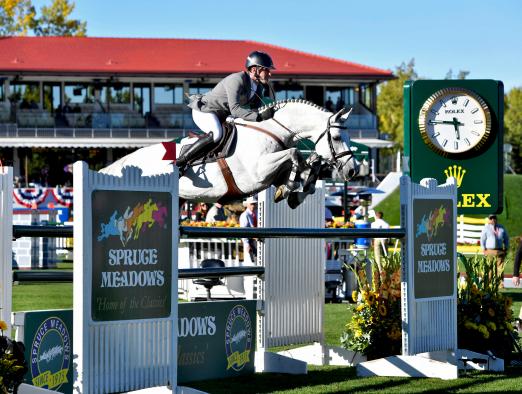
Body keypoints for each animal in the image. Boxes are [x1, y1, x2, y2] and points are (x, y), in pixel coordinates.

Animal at [102, 99, 362, 209]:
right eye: (336, 138)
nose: (353, 171)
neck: (272, 129)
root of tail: (126, 161)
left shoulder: (272, 174)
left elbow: (306, 169)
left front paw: (294, 194)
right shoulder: (259, 173)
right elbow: (295, 154)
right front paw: (290, 189)